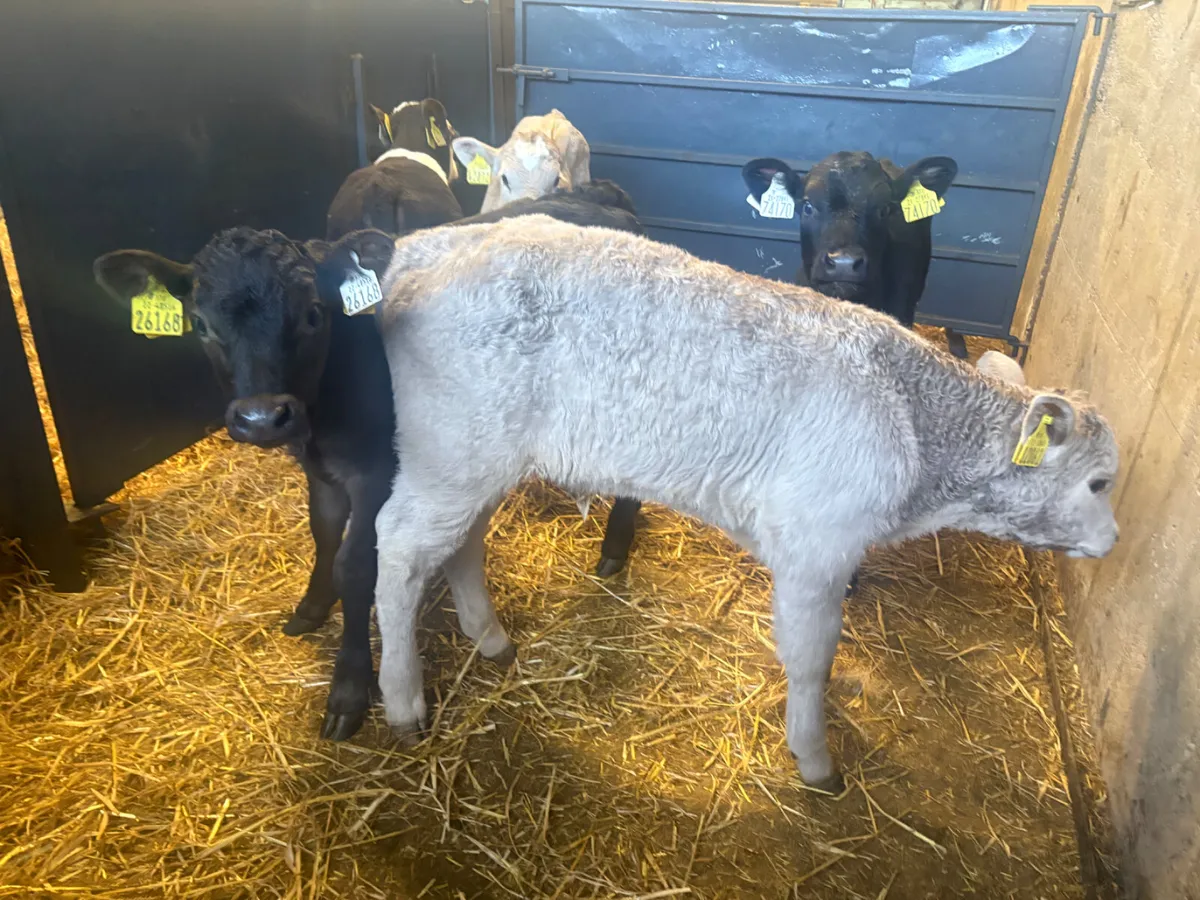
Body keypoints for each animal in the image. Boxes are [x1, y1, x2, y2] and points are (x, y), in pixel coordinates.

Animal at [315, 216, 1117, 790]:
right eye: (1102, 482)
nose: (1112, 543)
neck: (914, 420)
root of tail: (431, 242)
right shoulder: (817, 546)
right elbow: (811, 658)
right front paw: (815, 758)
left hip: (481, 456)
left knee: (464, 540)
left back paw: (488, 635)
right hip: (449, 449)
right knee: (400, 547)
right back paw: (403, 698)